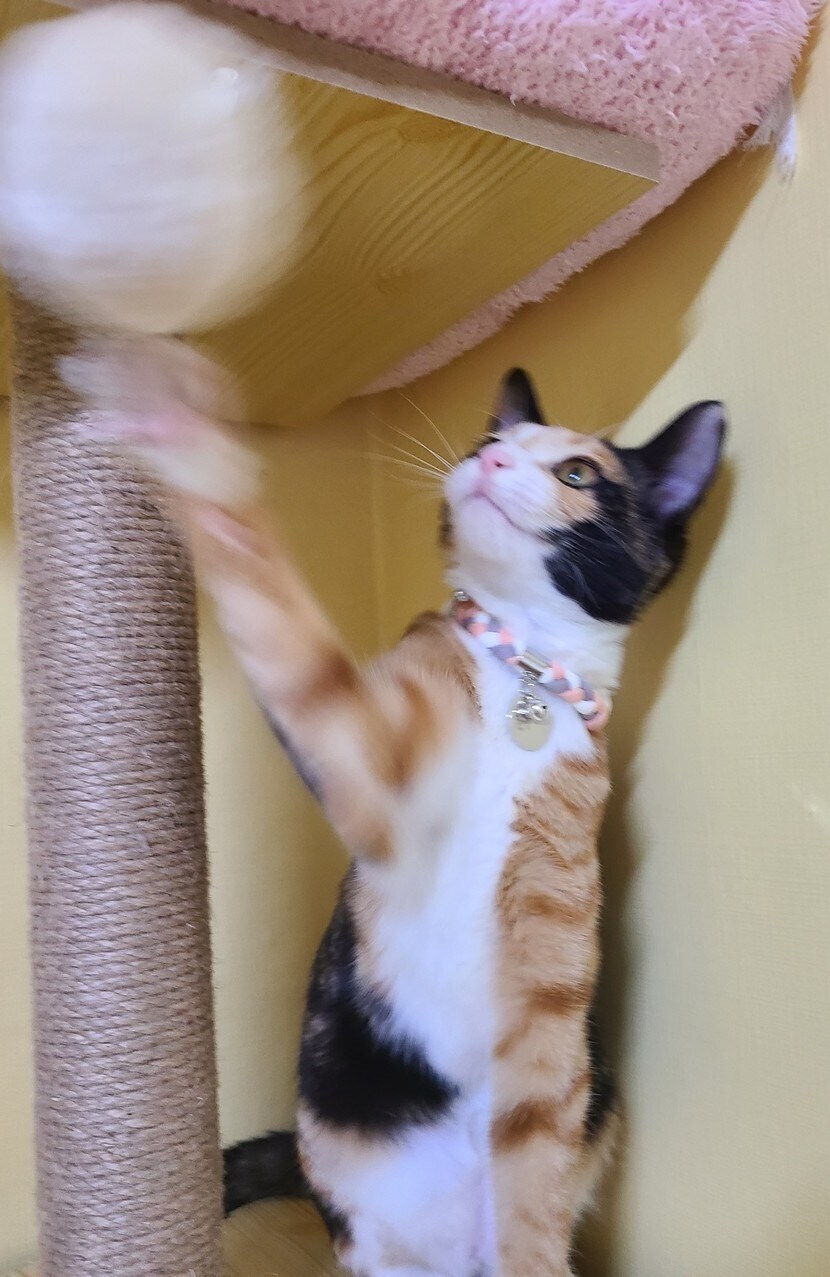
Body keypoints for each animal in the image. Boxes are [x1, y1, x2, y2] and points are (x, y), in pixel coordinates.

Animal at [89, 364, 725, 1277]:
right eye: (490, 438)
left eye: (578, 473)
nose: (490, 460)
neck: (520, 672)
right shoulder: (369, 768)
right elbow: (283, 616)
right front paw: (186, 440)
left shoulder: (551, 989)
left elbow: (535, 1176)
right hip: (357, 1197)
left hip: (594, 1099)